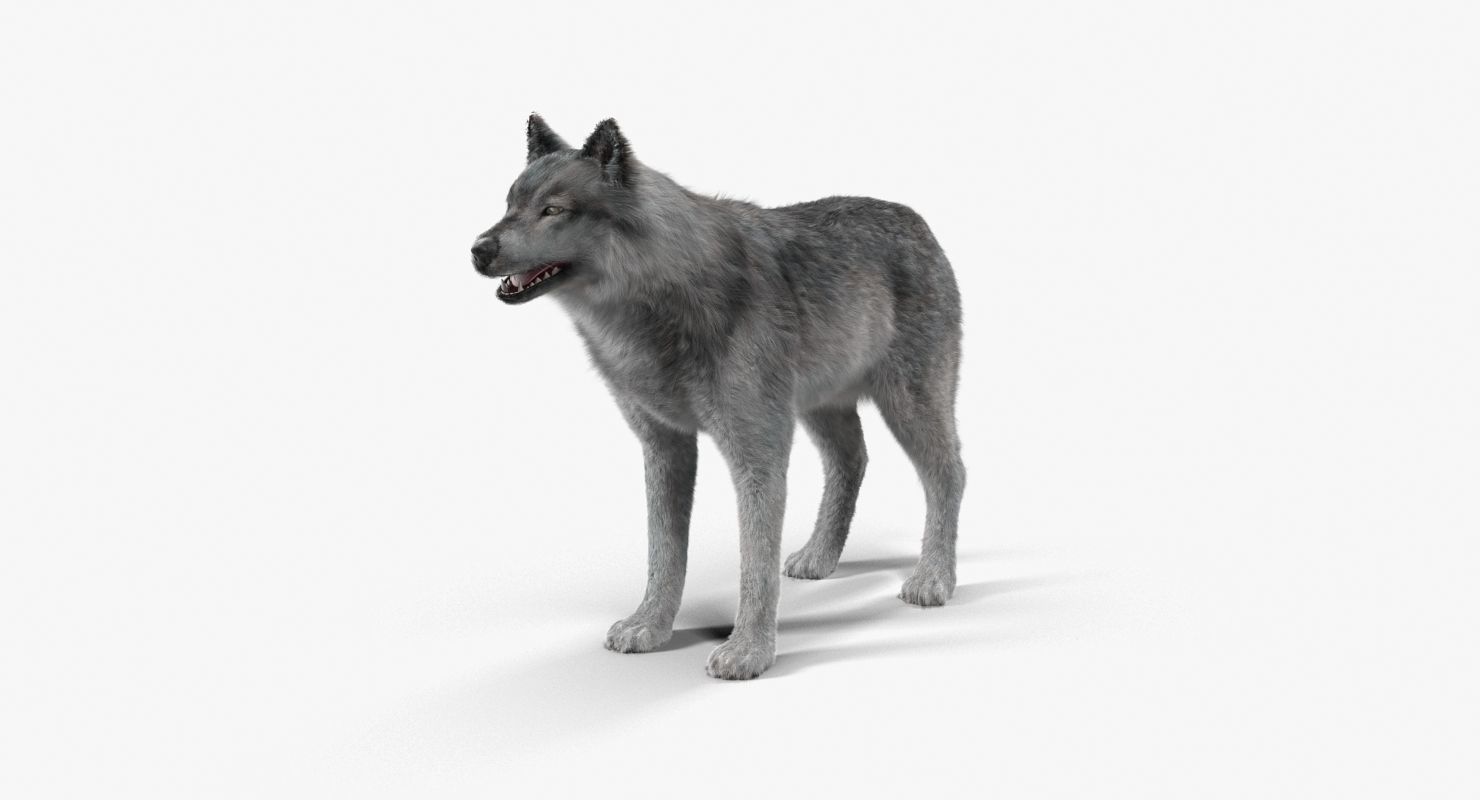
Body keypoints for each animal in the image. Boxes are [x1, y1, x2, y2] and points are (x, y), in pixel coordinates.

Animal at [471, 115, 965, 680]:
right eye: (509, 204)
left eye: (552, 210)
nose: (477, 250)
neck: (659, 297)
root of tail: (915, 219)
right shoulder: (665, 446)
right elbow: (663, 552)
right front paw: (650, 627)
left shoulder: (758, 453)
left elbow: (755, 562)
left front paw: (749, 652)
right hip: (823, 409)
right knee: (852, 461)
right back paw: (819, 558)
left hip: (909, 404)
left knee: (949, 473)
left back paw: (934, 579)